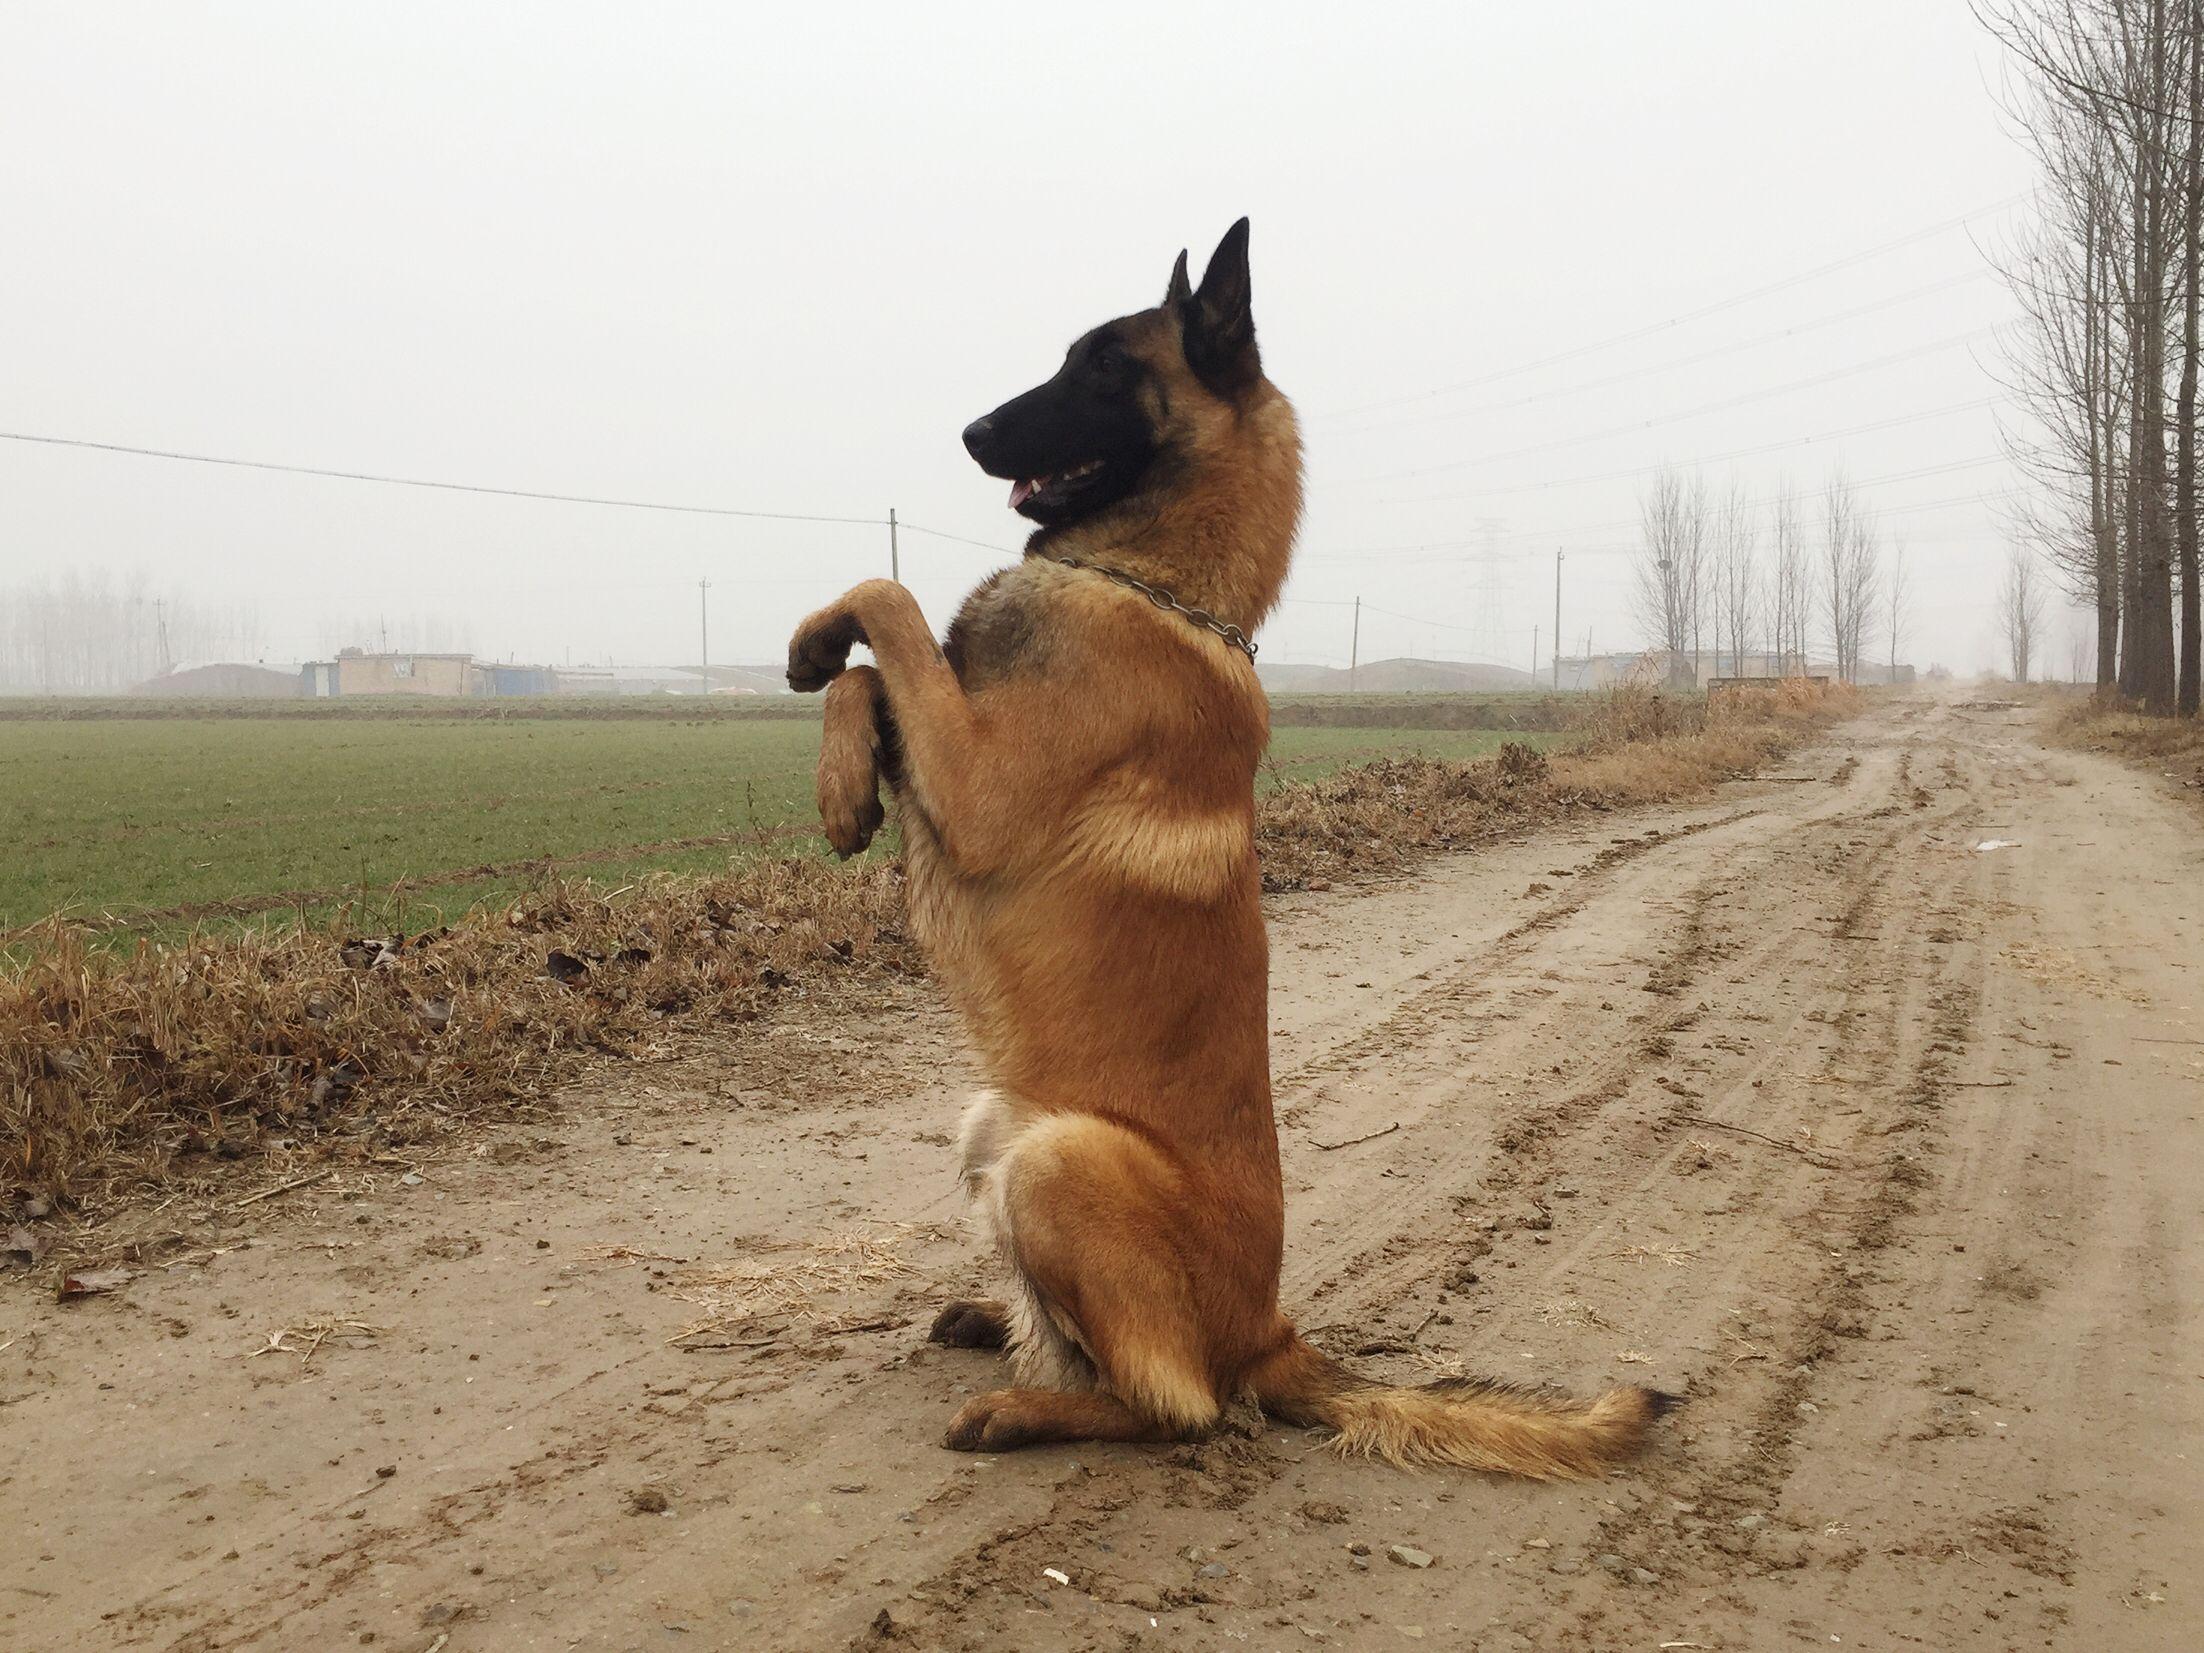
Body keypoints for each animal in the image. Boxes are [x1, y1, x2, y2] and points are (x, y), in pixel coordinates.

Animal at [784, 217, 1657, 1472]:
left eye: (1104, 366)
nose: (970, 433)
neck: (1150, 584)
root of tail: (1270, 1335)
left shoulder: (979, 785)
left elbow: (886, 597)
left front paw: (829, 700)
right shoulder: (946, 738)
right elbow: (870, 659)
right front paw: (833, 737)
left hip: (1058, 1154)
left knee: (1174, 1404)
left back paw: (1021, 1406)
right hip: (992, 1125)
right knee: (1100, 1349)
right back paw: (995, 1323)